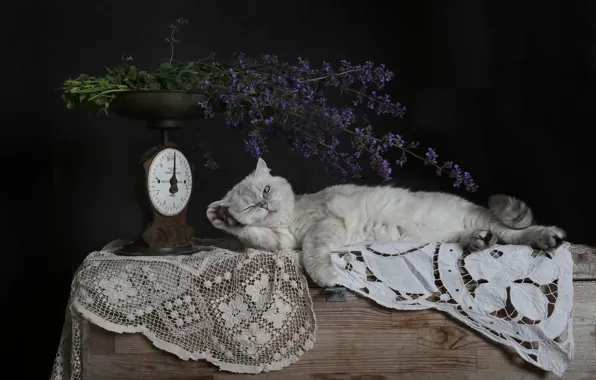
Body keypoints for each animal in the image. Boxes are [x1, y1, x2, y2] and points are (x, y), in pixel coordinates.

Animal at [207, 158, 564, 288]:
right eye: (250, 204)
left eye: (266, 190)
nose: (264, 204)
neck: (291, 218)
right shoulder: (284, 240)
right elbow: (257, 236)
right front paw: (224, 218)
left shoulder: (323, 227)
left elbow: (313, 251)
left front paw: (325, 277)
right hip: (464, 231)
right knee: (494, 237)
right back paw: (480, 240)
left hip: (491, 220)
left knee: (517, 233)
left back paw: (548, 237)